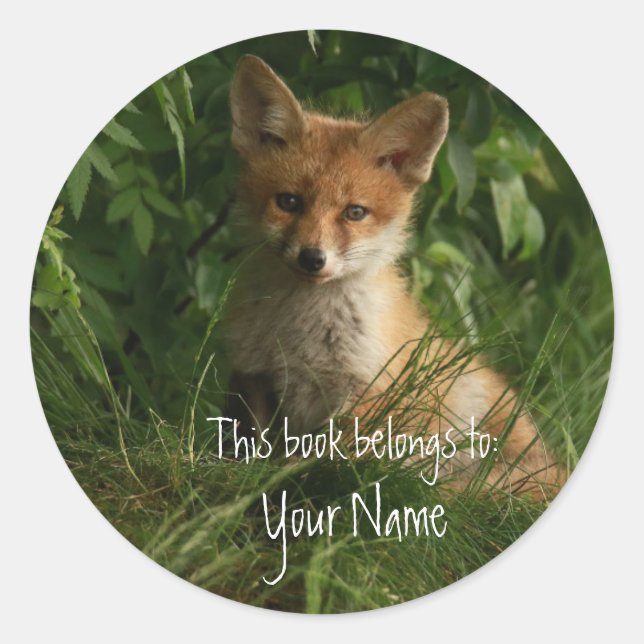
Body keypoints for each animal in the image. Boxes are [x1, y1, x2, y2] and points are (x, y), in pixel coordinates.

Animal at [221, 55, 563, 497]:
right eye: (289, 202)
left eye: (355, 212)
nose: (313, 258)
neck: (299, 334)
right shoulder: (255, 374)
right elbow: (255, 448)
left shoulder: (367, 391)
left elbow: (331, 463)